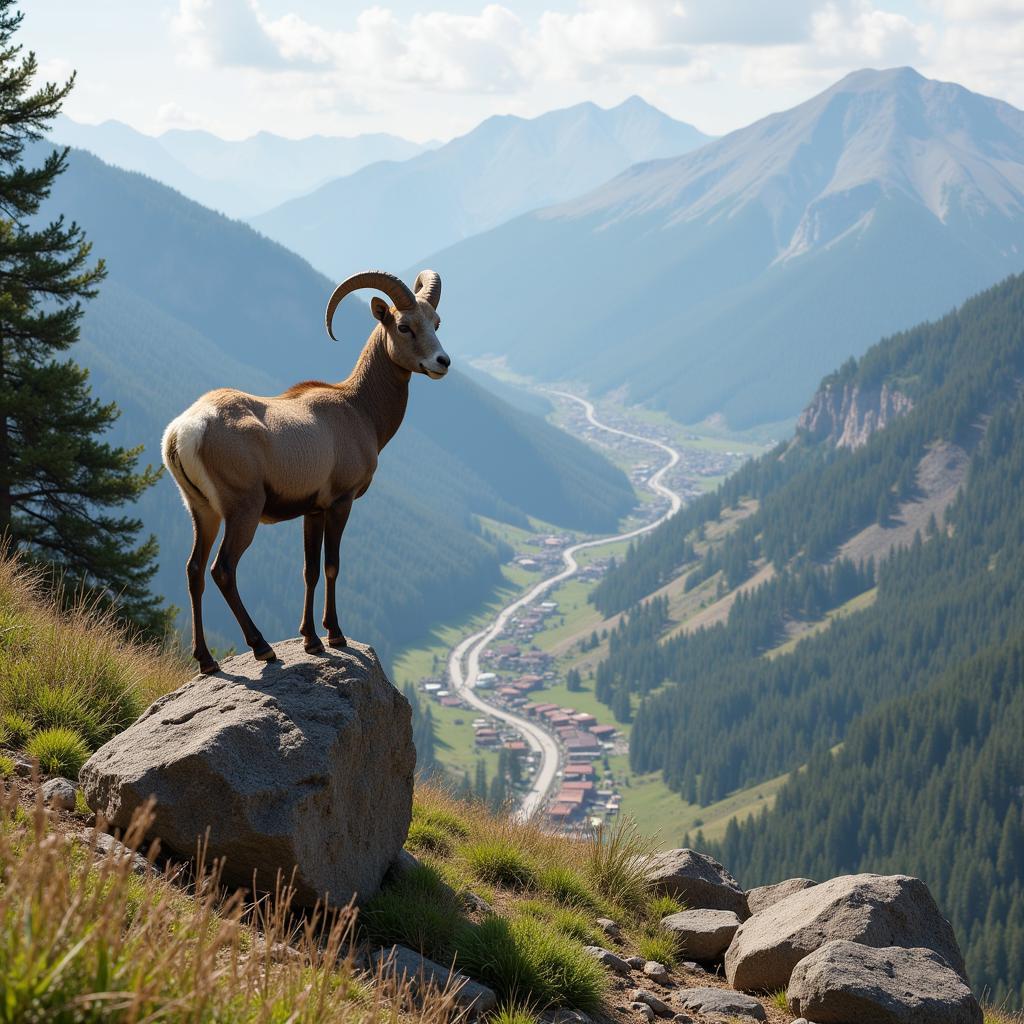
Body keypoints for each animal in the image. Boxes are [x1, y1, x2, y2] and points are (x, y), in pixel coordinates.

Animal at [160, 268, 448, 675]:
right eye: (405, 326)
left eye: (436, 323)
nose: (442, 361)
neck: (358, 409)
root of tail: (185, 431)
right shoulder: (340, 502)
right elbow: (331, 566)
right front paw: (335, 635)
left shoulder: (312, 510)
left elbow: (309, 570)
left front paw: (311, 640)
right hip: (243, 511)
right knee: (222, 569)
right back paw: (262, 647)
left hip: (202, 511)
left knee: (194, 571)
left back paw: (207, 661)